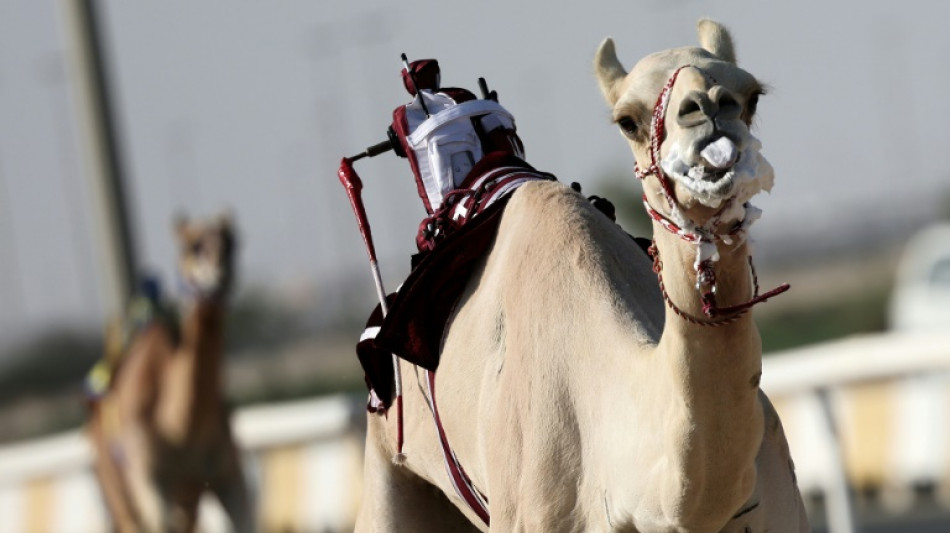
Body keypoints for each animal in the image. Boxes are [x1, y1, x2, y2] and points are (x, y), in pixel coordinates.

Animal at [86, 213, 255, 532]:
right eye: (193, 246)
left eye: (231, 244)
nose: (219, 276)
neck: (178, 427)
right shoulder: (150, 479)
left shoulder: (228, 474)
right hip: (115, 487)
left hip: (187, 500)